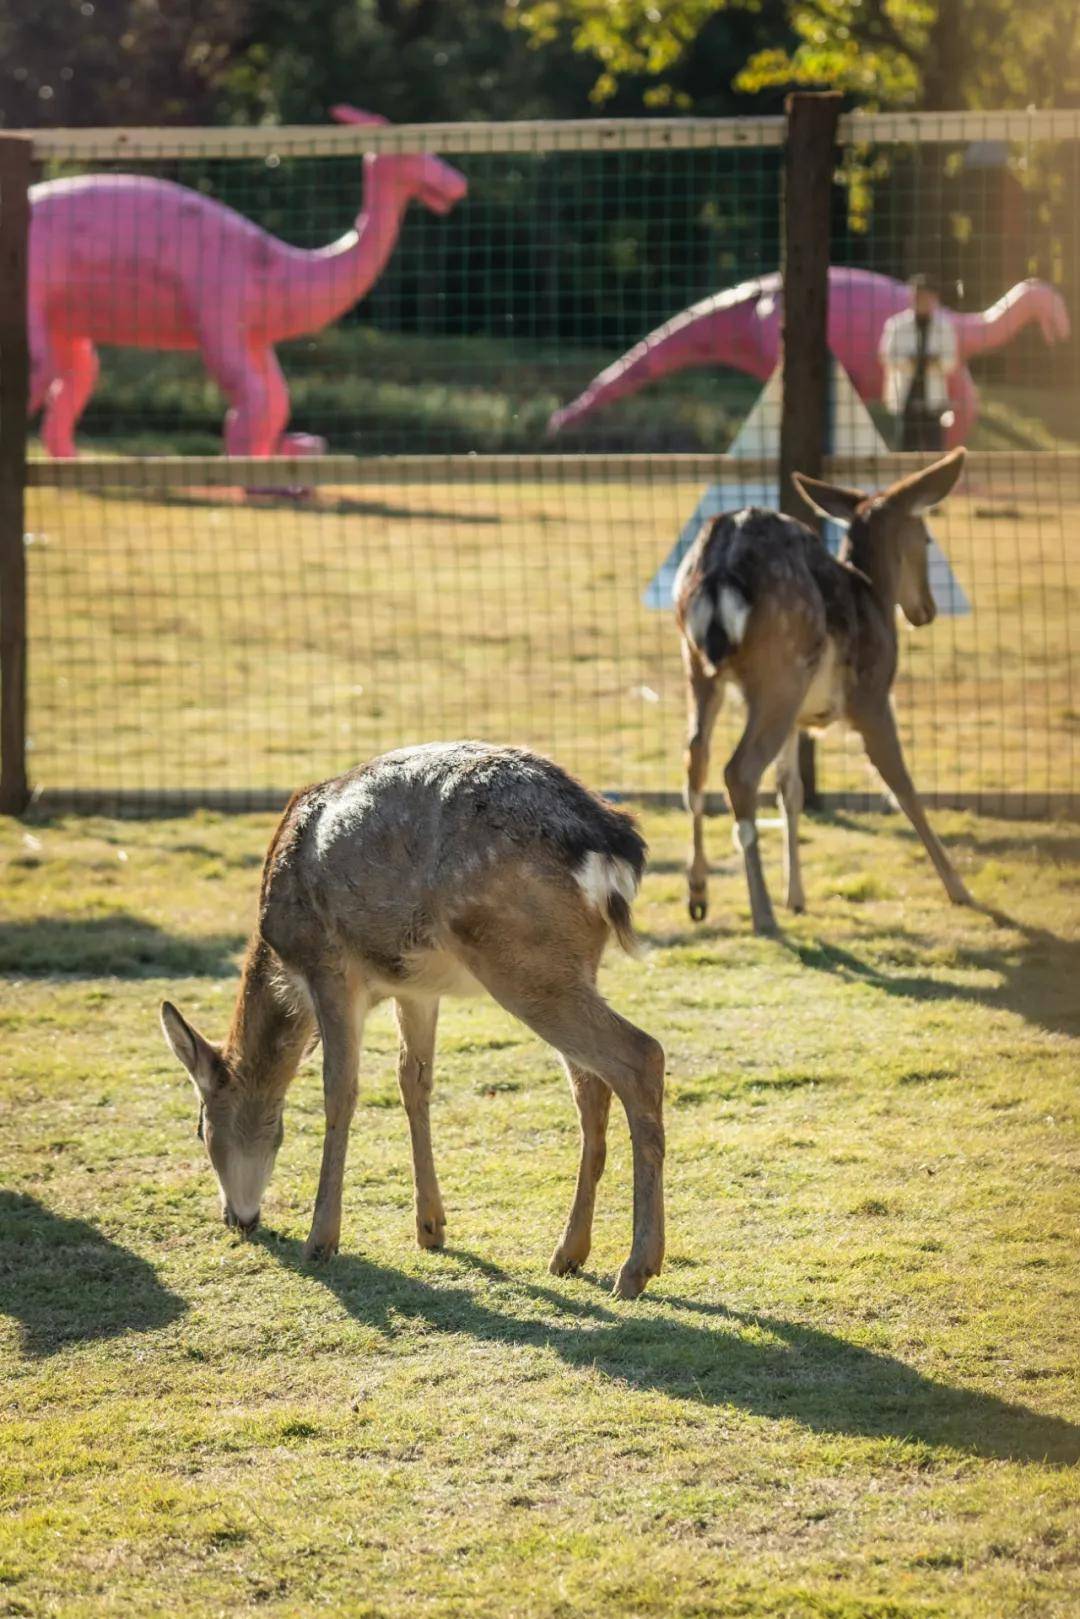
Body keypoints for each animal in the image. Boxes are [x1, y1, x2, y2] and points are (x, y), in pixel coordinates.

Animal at [158, 744, 667, 1301]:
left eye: (200, 1128)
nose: (236, 1219)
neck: (281, 961)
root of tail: (612, 842)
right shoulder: (415, 987)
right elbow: (413, 1080)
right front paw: (430, 1228)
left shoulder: (329, 968)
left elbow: (340, 1090)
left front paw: (320, 1240)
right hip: (572, 965)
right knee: (590, 1085)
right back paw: (568, 1254)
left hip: (522, 959)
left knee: (641, 1054)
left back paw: (635, 1268)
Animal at [676, 450, 971, 945]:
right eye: (928, 538)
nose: (926, 610)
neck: (874, 595)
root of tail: (719, 569)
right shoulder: (872, 695)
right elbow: (902, 785)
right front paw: (959, 888)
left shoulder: (800, 719)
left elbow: (791, 790)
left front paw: (797, 896)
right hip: (782, 671)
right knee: (739, 770)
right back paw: (762, 915)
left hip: (698, 665)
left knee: (696, 755)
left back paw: (699, 895)